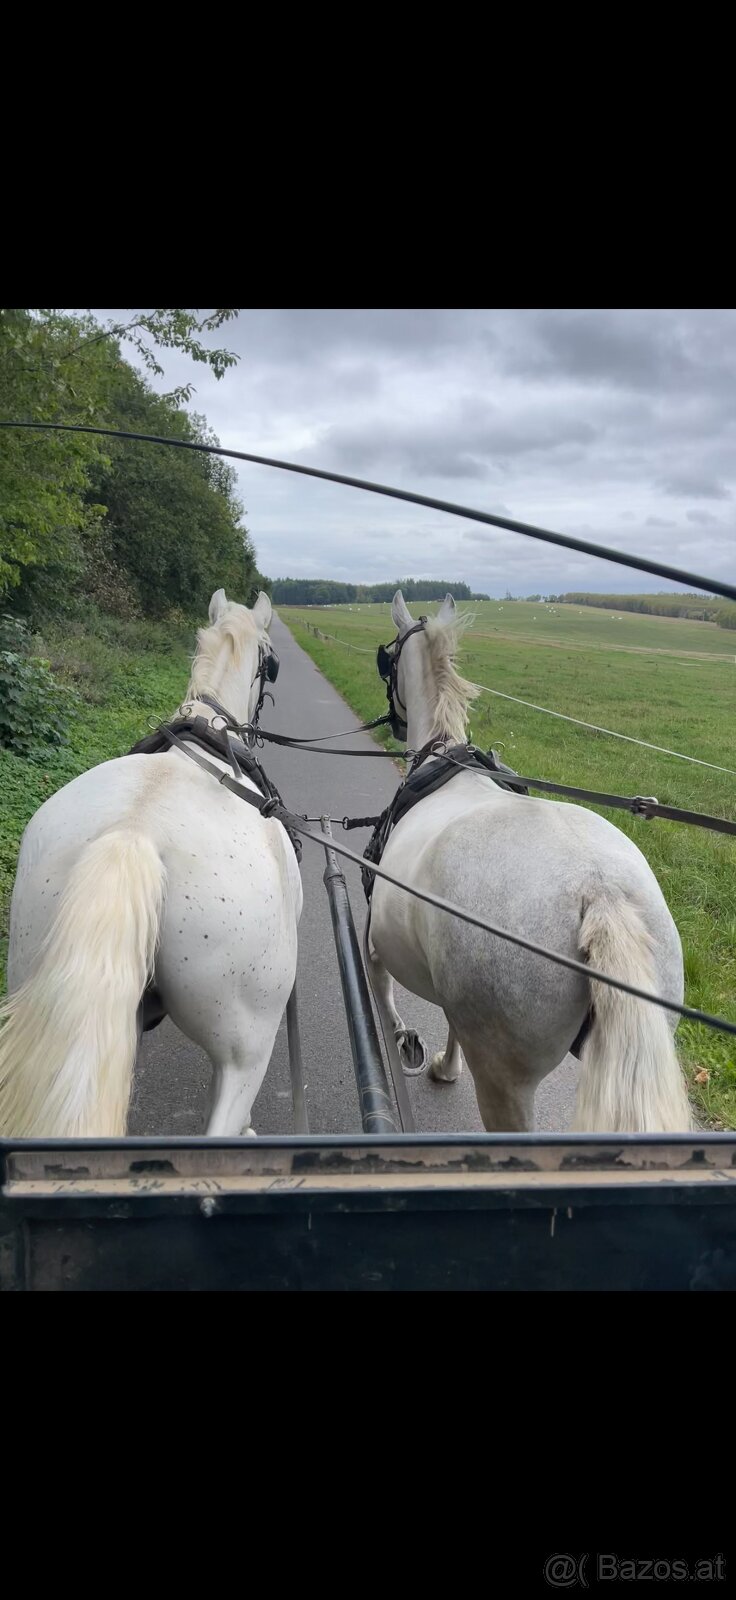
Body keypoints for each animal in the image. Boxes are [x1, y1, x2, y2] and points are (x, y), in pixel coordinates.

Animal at [366, 590, 692, 1133]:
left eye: (387, 662)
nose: (391, 720)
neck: (440, 762)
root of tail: (599, 892)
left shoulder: (375, 939)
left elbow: (383, 990)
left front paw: (409, 1045)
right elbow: (451, 1022)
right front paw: (448, 1066)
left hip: (506, 1080)